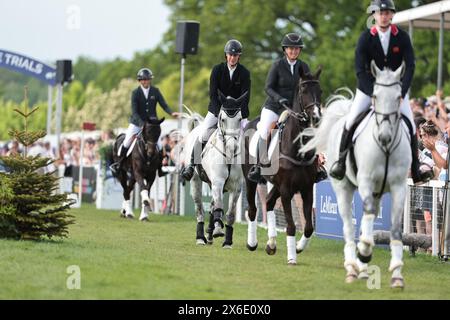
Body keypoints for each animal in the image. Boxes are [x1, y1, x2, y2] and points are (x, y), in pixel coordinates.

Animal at [182, 92, 246, 248]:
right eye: (223, 119)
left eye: (240, 119)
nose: (232, 147)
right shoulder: (218, 182)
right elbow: (218, 207)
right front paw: (218, 230)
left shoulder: (236, 187)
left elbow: (230, 214)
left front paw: (227, 241)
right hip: (196, 182)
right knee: (200, 209)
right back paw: (201, 237)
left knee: (210, 206)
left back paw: (209, 234)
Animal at [243, 69, 324, 264]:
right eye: (303, 90)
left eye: (320, 91)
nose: (316, 117)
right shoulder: (287, 190)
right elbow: (291, 226)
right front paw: (292, 258)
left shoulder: (306, 188)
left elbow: (308, 227)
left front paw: (298, 247)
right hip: (251, 180)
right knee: (253, 209)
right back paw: (252, 243)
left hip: (277, 185)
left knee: (269, 202)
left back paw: (271, 243)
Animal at [302, 61, 412, 288]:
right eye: (375, 96)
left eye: (399, 97)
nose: (385, 136)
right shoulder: (366, 182)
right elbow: (366, 216)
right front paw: (365, 252)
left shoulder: (399, 187)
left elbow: (395, 228)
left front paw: (397, 273)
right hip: (343, 189)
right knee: (348, 226)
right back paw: (353, 265)